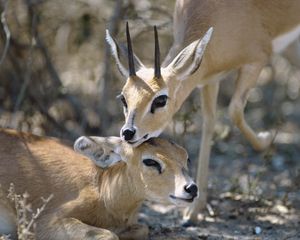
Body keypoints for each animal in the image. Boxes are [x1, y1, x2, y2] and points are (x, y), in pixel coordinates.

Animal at [0, 129, 197, 240]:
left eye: (186, 157)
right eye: (150, 161)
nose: (191, 188)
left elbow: (142, 229)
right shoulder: (42, 223)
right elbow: (110, 235)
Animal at [105, 0, 300, 223]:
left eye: (161, 99)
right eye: (123, 98)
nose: (128, 132)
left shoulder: (257, 60)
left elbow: (234, 110)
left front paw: (266, 138)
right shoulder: (209, 79)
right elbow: (209, 125)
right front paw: (194, 210)